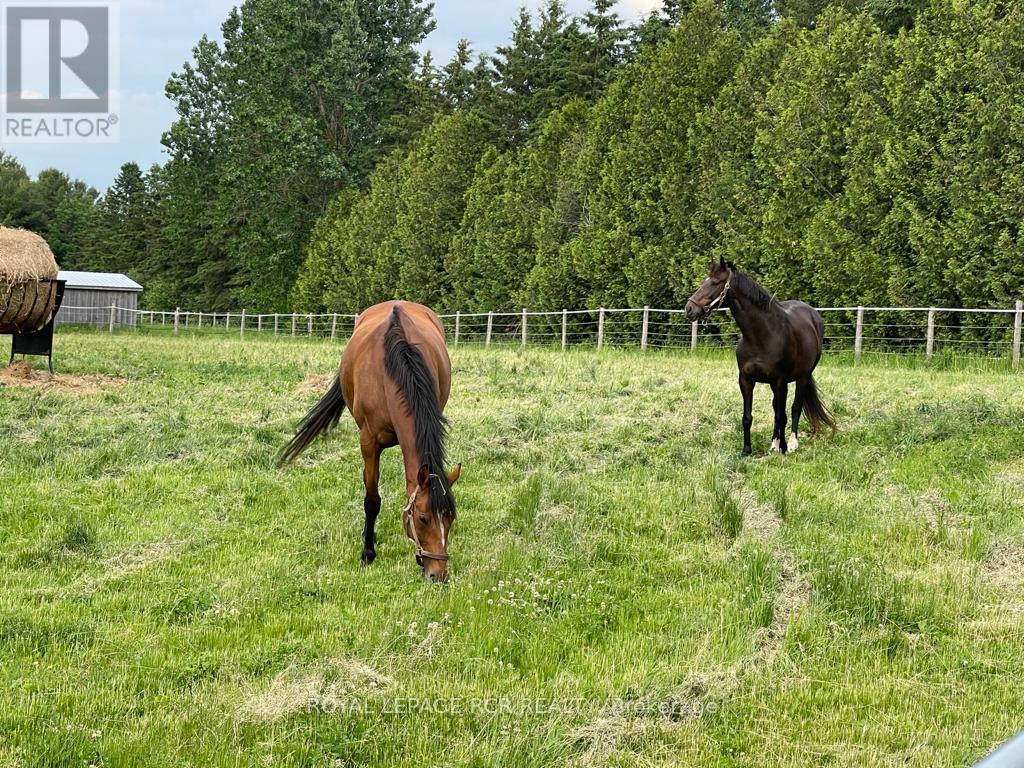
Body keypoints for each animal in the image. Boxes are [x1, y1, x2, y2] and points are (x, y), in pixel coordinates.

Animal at [276, 303, 460, 581]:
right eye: (423, 518)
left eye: (451, 517)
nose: (438, 575)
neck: (393, 371)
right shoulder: (369, 444)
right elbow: (372, 500)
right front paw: (368, 553)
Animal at [684, 262, 835, 460]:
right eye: (704, 281)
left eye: (715, 283)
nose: (689, 308)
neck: (762, 335)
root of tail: (812, 315)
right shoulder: (746, 380)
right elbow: (748, 417)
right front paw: (747, 450)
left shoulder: (780, 382)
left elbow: (782, 415)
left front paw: (784, 448)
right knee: (776, 407)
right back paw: (774, 443)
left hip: (802, 377)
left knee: (795, 407)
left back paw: (792, 443)